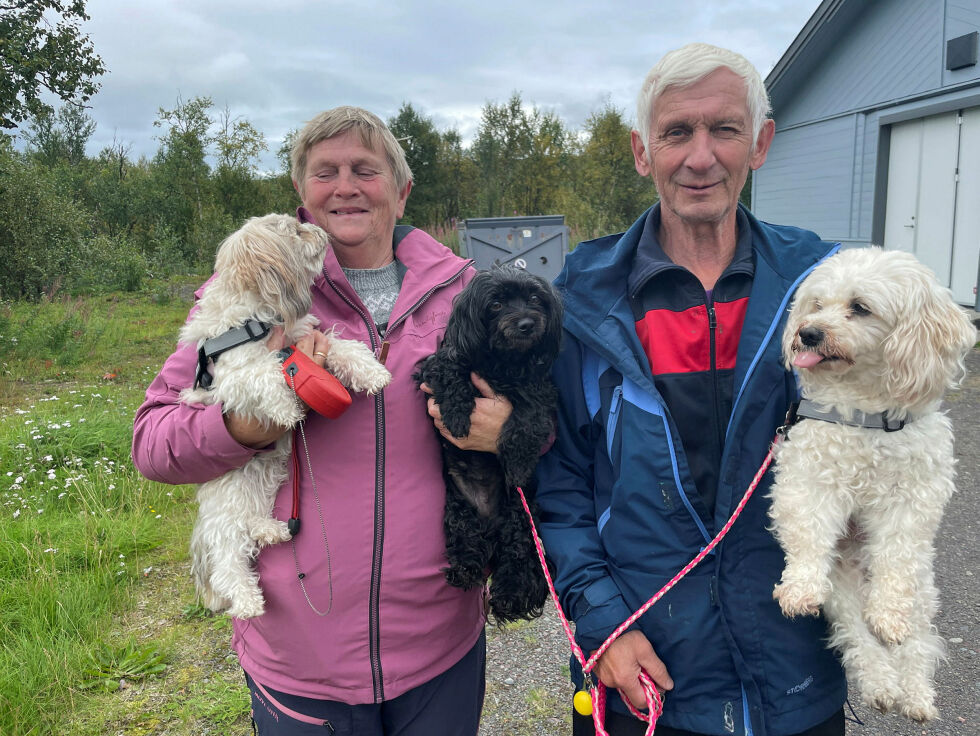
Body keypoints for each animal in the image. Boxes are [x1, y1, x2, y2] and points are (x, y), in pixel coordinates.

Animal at [180, 214, 390, 620]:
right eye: (295, 229)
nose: (322, 230)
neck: (258, 317)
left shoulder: (305, 338)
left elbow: (340, 346)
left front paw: (370, 371)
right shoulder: (234, 377)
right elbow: (266, 373)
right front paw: (284, 406)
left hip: (253, 493)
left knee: (250, 527)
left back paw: (271, 531)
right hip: (227, 509)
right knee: (228, 562)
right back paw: (247, 601)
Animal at [416, 264, 568, 620]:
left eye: (535, 299)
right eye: (496, 304)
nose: (526, 323)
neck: (504, 362)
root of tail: (490, 528)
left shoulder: (539, 392)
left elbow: (528, 420)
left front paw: (518, 461)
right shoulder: (437, 366)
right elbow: (451, 371)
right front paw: (456, 416)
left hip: (519, 515)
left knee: (518, 557)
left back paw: (510, 593)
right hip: (459, 512)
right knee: (466, 546)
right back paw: (464, 570)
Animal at [768, 246, 976, 720]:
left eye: (860, 307)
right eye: (816, 304)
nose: (807, 333)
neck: (867, 415)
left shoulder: (914, 500)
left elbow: (896, 558)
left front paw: (888, 616)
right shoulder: (810, 481)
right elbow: (808, 537)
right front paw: (798, 589)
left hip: (923, 593)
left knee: (917, 644)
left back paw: (915, 694)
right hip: (842, 595)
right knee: (860, 640)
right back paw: (883, 686)